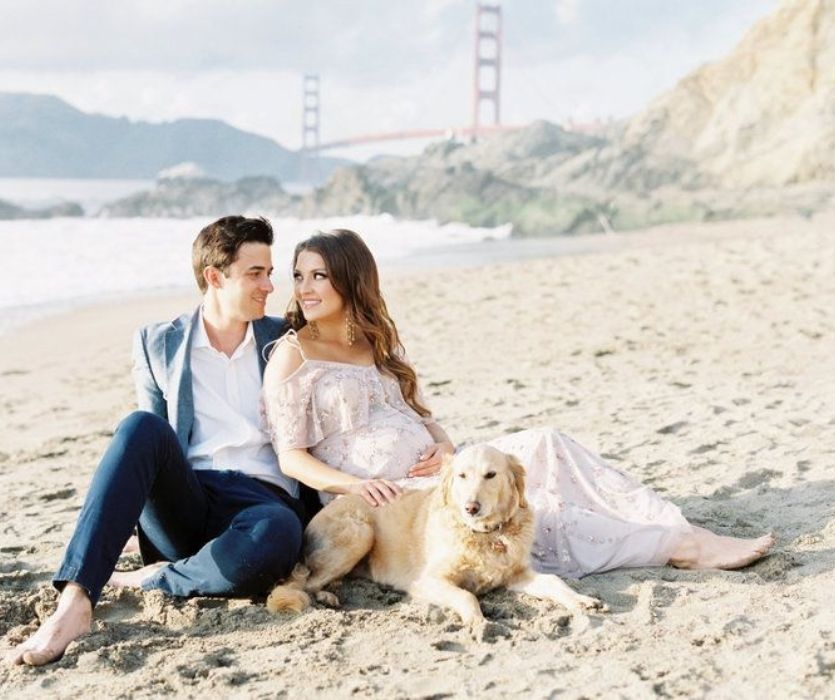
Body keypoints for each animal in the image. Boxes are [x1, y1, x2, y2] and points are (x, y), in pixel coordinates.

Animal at [268, 446, 600, 636]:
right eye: (462, 476)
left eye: (491, 475)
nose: (471, 507)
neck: (484, 534)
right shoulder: (426, 581)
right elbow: (466, 596)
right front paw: (478, 622)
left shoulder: (516, 574)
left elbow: (555, 582)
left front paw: (581, 600)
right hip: (359, 532)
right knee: (305, 583)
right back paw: (325, 597)